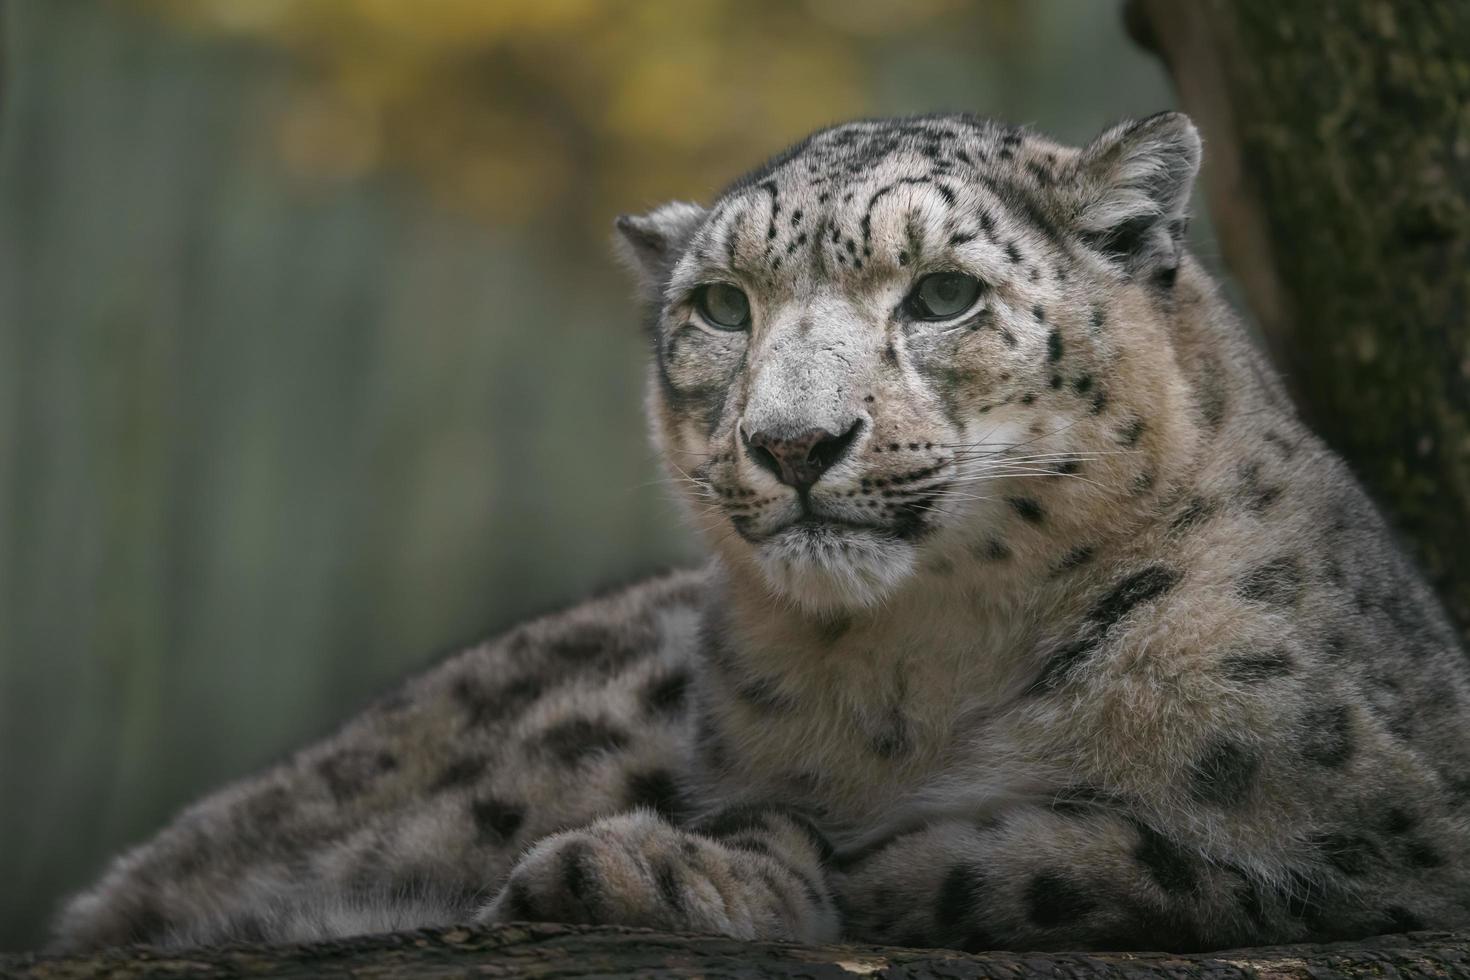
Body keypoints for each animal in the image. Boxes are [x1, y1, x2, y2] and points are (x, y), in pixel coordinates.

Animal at [45, 113, 1470, 952]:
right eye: (723, 305)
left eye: (943, 293)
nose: (793, 441)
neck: (919, 675)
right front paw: (652, 863)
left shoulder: (1379, 828)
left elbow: (1087, 859)